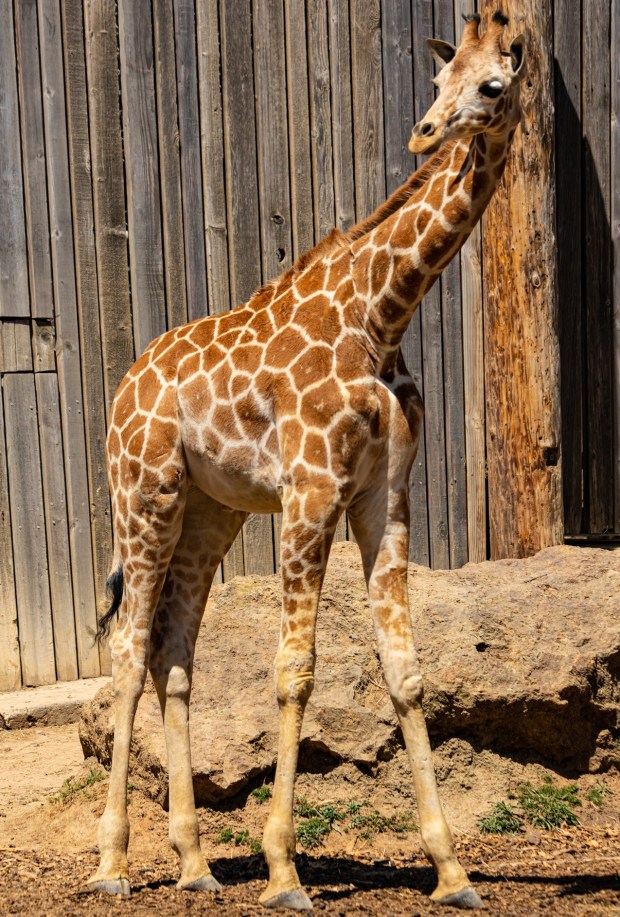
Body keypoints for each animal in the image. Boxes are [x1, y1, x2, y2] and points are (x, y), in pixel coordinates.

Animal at [88, 11, 525, 910]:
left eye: (493, 83)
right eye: (439, 80)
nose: (425, 132)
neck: (382, 312)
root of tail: (124, 386)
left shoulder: (384, 496)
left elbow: (407, 672)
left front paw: (453, 871)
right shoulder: (311, 490)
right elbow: (295, 670)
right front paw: (285, 870)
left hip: (210, 510)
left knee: (174, 651)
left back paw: (193, 862)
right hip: (142, 493)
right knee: (128, 650)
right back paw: (112, 862)